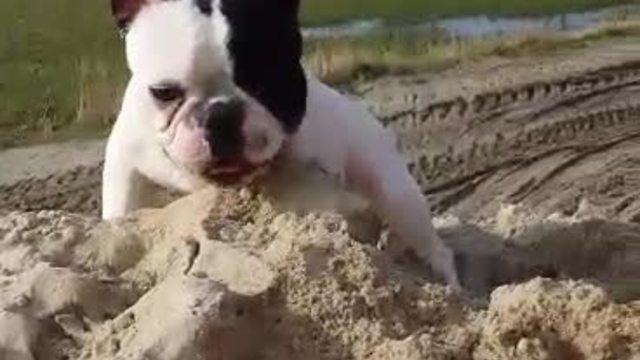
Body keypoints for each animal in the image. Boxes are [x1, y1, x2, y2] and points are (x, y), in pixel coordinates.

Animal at [102, 0, 460, 290]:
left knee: (429, 241)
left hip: (394, 191)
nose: (221, 114)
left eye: (267, 81)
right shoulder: (126, 160)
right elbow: (122, 208)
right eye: (164, 92)